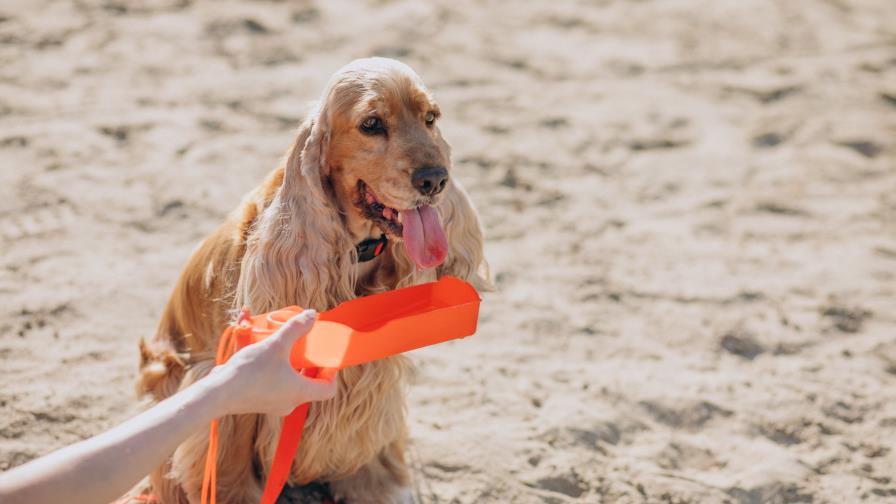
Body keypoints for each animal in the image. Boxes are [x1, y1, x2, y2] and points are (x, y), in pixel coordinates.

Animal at [135, 56, 490, 504]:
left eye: (431, 118)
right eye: (372, 124)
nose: (436, 179)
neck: (356, 250)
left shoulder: (372, 375)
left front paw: (379, 488)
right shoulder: (239, 379)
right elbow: (230, 468)